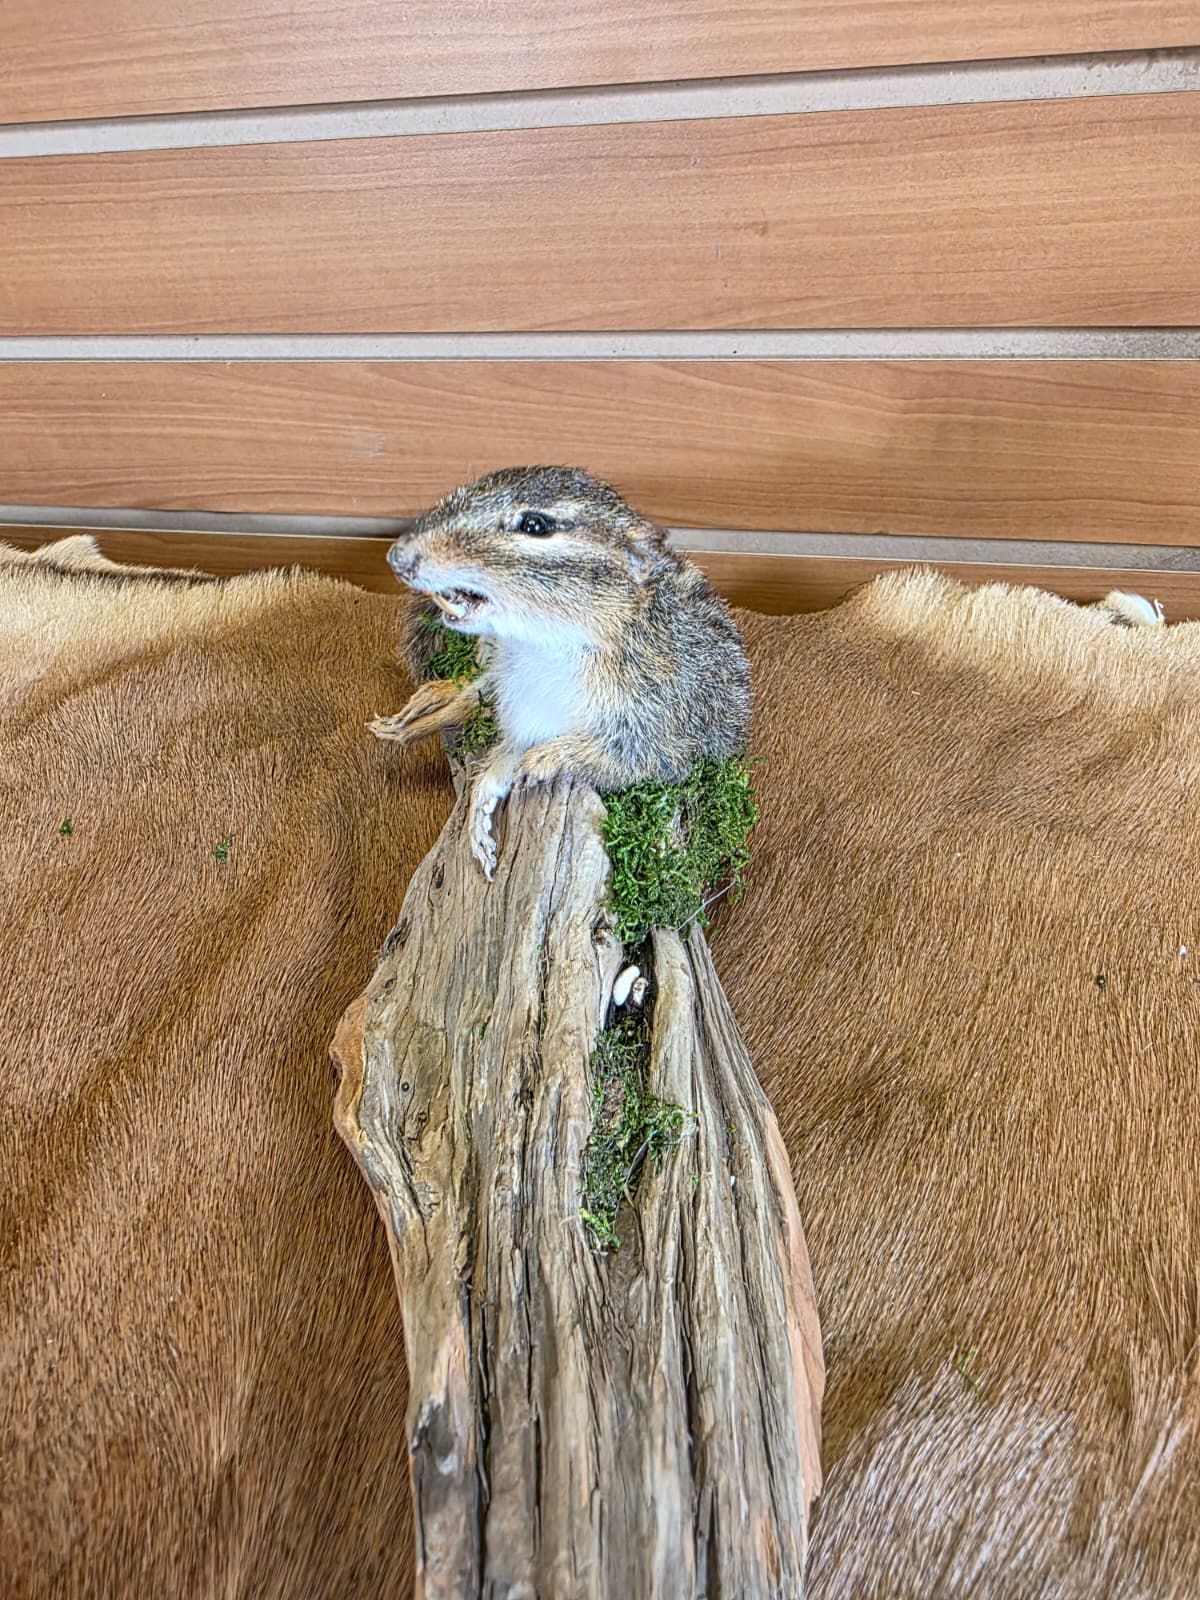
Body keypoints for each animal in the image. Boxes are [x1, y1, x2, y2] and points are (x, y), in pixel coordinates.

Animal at [368, 466, 752, 878]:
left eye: (535, 525)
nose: (398, 556)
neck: (546, 647)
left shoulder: (664, 735)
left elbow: (625, 761)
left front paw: (544, 759)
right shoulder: (519, 709)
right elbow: (498, 759)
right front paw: (479, 815)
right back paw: (416, 715)